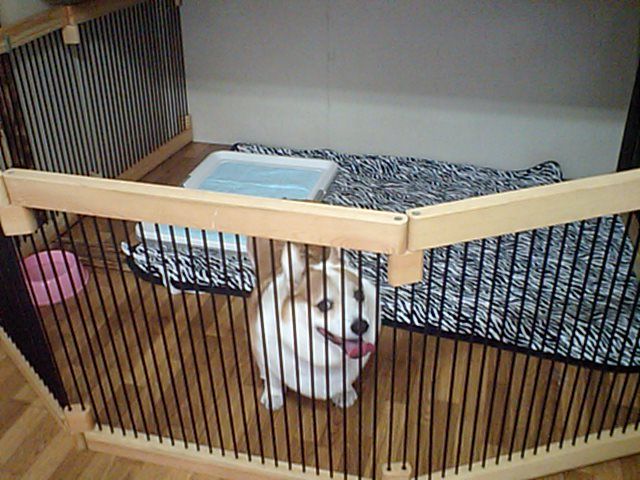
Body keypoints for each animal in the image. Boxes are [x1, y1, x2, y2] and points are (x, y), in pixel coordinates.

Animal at [250, 241, 378, 410]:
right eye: (324, 305)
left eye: (359, 295)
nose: (361, 326)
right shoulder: (264, 351)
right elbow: (272, 377)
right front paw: (274, 395)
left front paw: (344, 392)